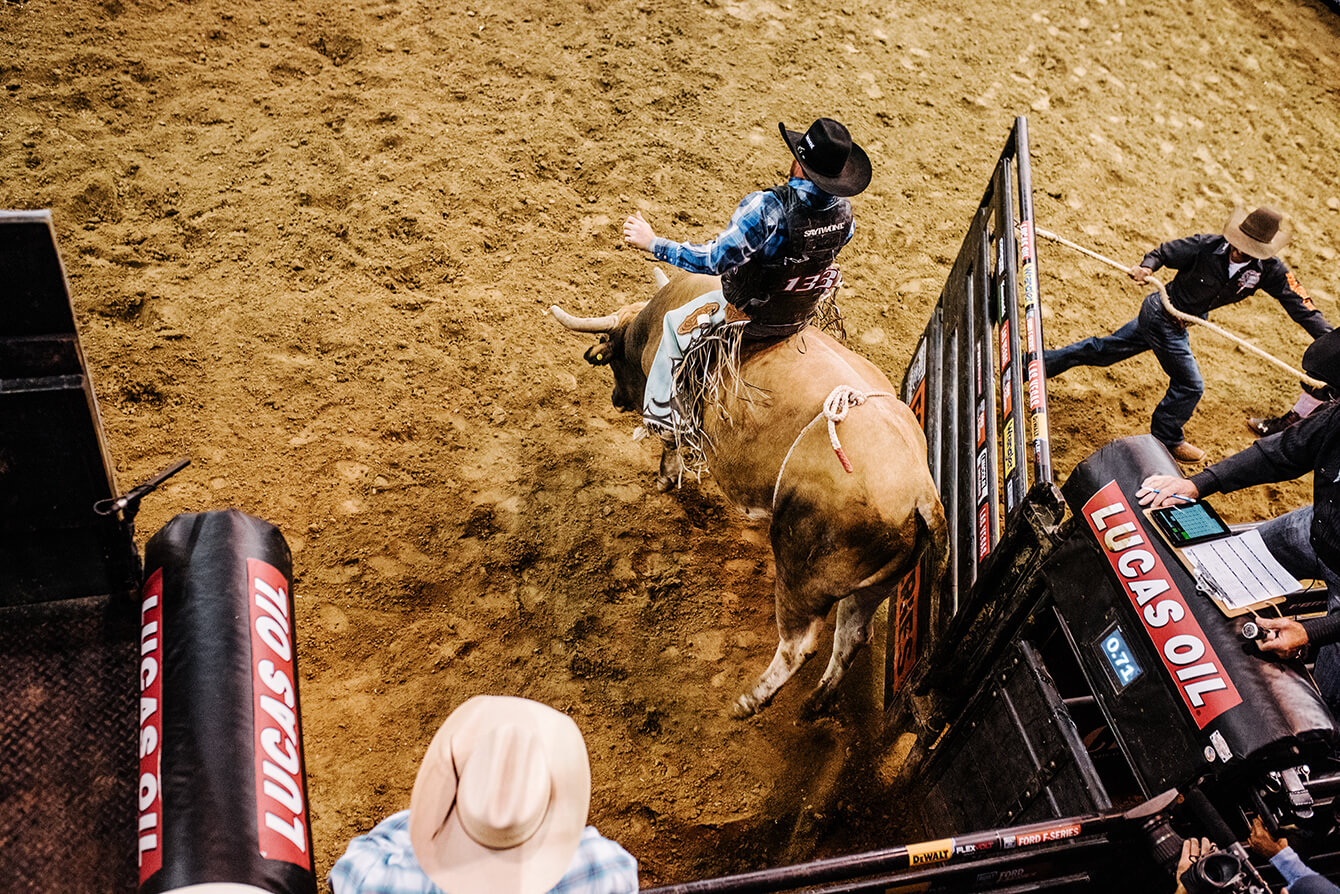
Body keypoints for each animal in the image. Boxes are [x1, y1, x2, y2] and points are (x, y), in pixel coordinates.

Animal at [549, 273, 948, 718]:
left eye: (611, 351)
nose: (617, 400)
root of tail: (922, 494)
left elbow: (670, 443)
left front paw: (665, 479)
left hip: (800, 574)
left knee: (798, 645)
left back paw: (749, 700)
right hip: (872, 587)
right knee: (852, 636)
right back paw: (817, 702)